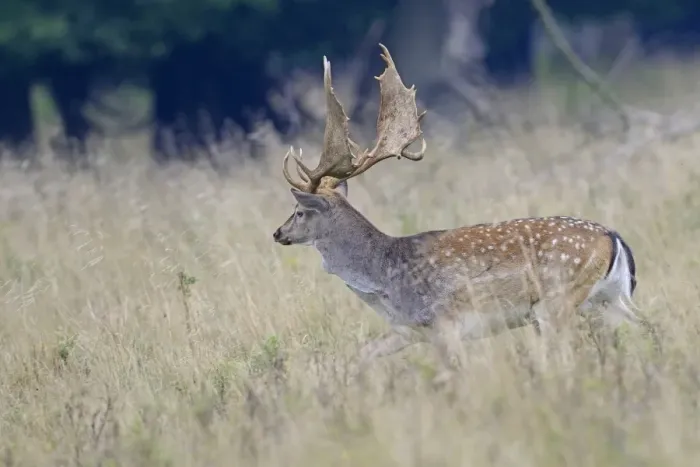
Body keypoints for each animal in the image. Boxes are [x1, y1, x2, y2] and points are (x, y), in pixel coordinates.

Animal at [272, 44, 656, 376]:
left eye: (299, 211)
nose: (278, 232)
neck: (384, 277)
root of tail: (614, 238)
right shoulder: (409, 329)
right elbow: (361, 356)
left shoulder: (445, 323)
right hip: (609, 297)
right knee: (650, 326)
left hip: (557, 300)